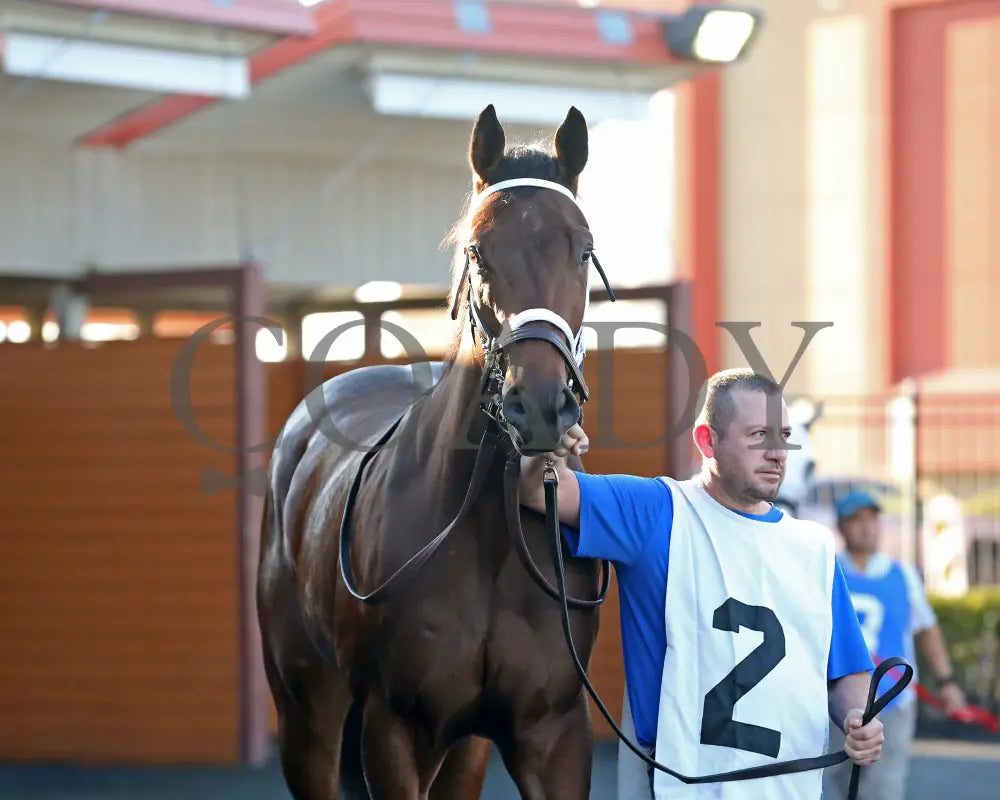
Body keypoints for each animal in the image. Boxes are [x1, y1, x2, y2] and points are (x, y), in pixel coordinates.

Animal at [256, 106, 616, 800]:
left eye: (582, 248)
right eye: (479, 249)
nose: (539, 406)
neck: (489, 533)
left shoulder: (553, 735)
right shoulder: (395, 731)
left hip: (465, 750)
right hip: (305, 712)